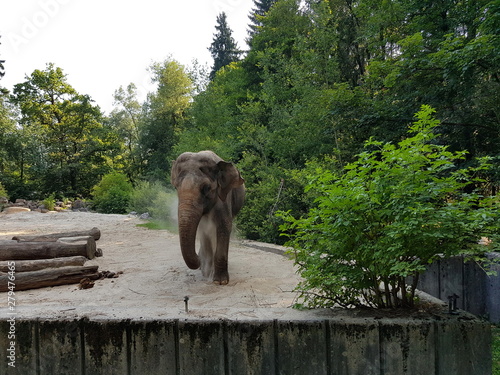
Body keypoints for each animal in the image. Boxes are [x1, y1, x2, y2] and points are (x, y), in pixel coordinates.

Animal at [171, 150, 245, 284]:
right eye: (175, 187)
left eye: (206, 188)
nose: (198, 259)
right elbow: (203, 230)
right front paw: (206, 274)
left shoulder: (224, 198)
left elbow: (224, 227)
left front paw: (220, 282)